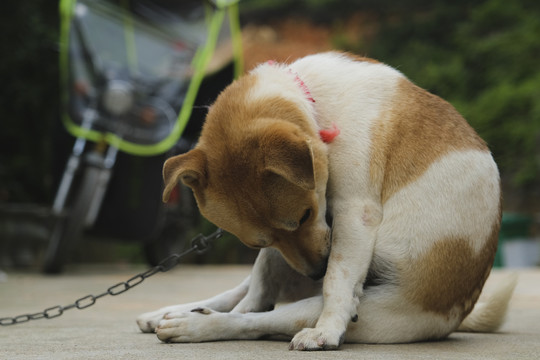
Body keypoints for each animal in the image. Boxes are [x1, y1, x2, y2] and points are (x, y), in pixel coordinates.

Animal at [135, 52, 516, 350]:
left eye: (306, 215)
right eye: (258, 241)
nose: (316, 271)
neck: (317, 104)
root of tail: (458, 315)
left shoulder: (355, 214)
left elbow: (337, 282)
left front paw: (328, 330)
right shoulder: (283, 247)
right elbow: (264, 287)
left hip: (344, 309)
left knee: (256, 318)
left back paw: (194, 324)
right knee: (247, 300)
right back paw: (170, 314)